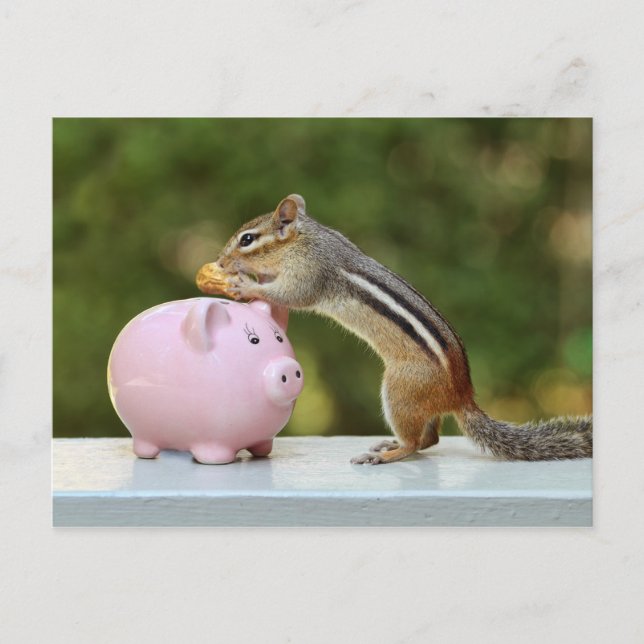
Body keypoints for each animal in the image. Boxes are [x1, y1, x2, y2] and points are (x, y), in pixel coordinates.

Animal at [198, 194, 592, 464]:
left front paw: (243, 285)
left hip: (399, 391)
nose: (220, 260)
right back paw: (390, 445)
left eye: (247, 239)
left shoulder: (310, 273)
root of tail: (462, 395)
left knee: (417, 443)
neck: (304, 239)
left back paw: (387, 454)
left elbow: (291, 295)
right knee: (430, 440)